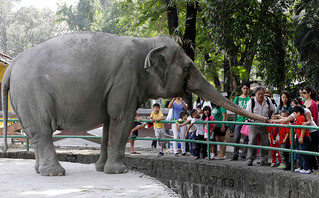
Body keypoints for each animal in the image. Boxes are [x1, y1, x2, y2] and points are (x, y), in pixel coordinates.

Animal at [1, 31, 268, 176]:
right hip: (32, 93)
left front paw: (102, 169)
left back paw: (40, 171)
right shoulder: (125, 79)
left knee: (34, 132)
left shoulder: (114, 87)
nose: (268, 118)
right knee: (41, 131)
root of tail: (11, 66)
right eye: (186, 68)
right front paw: (119, 171)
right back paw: (55, 173)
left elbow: (110, 123)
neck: (147, 43)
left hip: (23, 97)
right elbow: (122, 118)